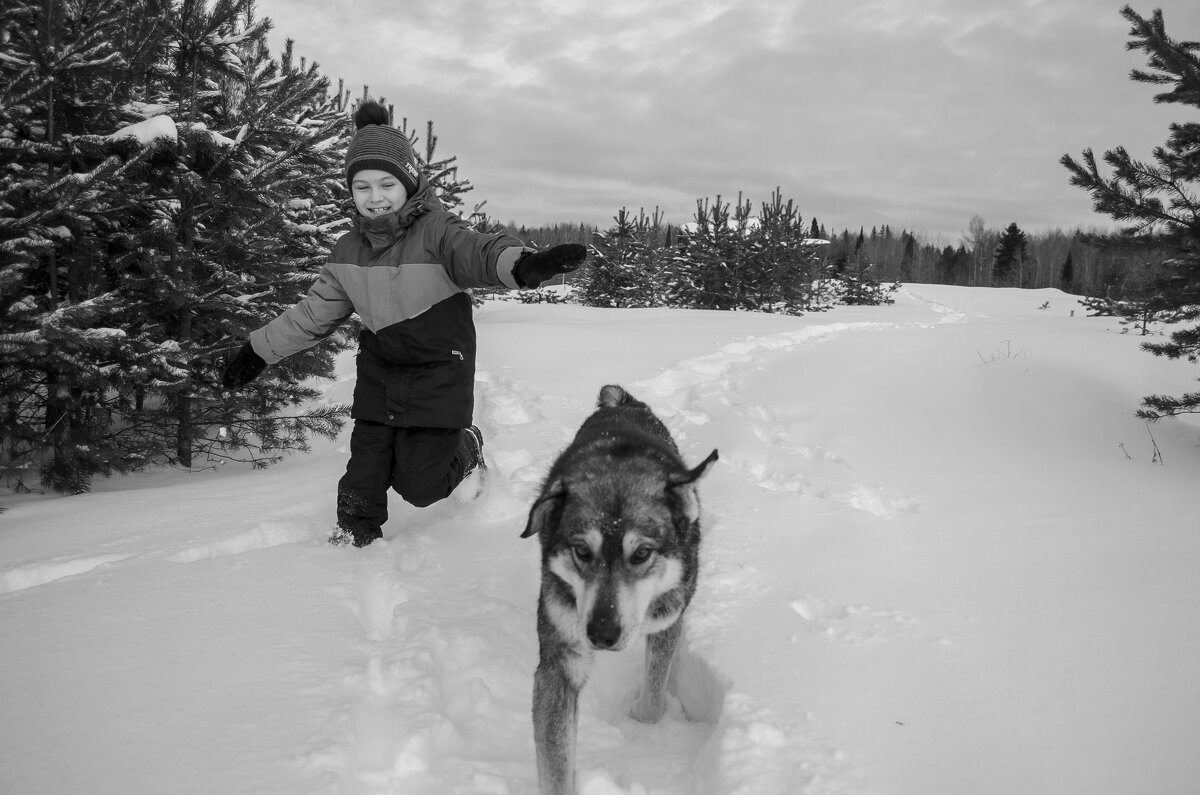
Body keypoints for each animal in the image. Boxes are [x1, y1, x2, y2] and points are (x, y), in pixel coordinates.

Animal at [523, 386, 710, 795]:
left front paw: (640, 718)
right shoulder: (560, 662)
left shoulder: (666, 619)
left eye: (641, 553)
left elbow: (654, 700)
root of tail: (624, 401)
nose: (602, 634)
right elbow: (555, 765)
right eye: (581, 551)